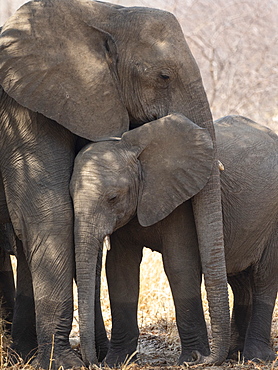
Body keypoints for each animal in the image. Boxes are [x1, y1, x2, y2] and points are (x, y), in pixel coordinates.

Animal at [0, 0, 228, 366]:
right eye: (164, 76)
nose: (205, 361)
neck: (107, 15)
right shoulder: (22, 106)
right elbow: (50, 211)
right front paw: (65, 364)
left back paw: (23, 353)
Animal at [70, 114, 278, 366]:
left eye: (113, 198)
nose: (95, 361)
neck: (134, 150)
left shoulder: (183, 200)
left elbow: (180, 264)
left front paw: (190, 359)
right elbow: (120, 268)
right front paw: (117, 361)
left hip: (273, 220)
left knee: (264, 278)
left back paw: (257, 357)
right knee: (240, 282)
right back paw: (235, 354)